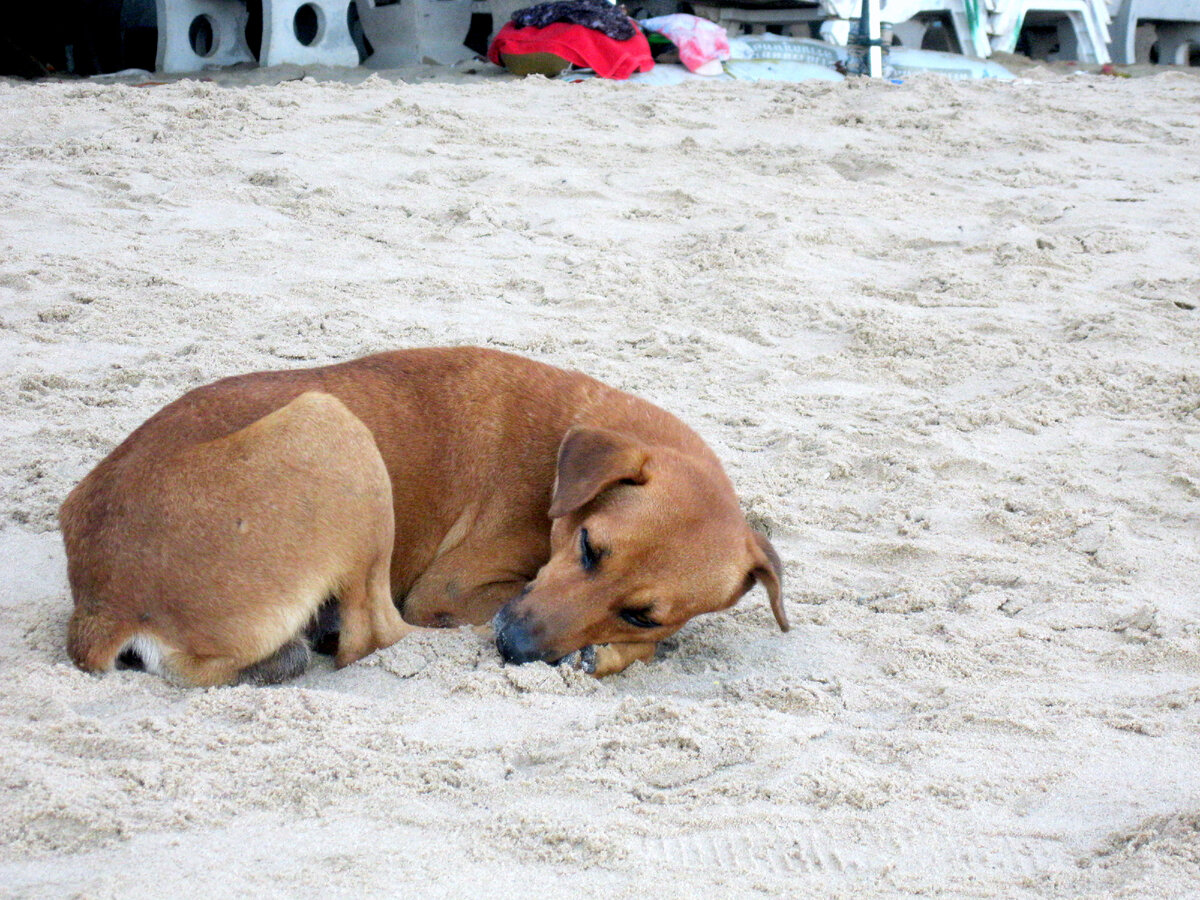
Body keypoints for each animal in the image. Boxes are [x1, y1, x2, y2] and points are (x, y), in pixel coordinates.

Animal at [63, 345, 787, 681]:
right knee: (371, 636)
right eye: (587, 547)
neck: (566, 443)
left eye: (640, 611)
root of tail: (105, 604)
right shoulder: (453, 590)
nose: (515, 647)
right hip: (333, 424)